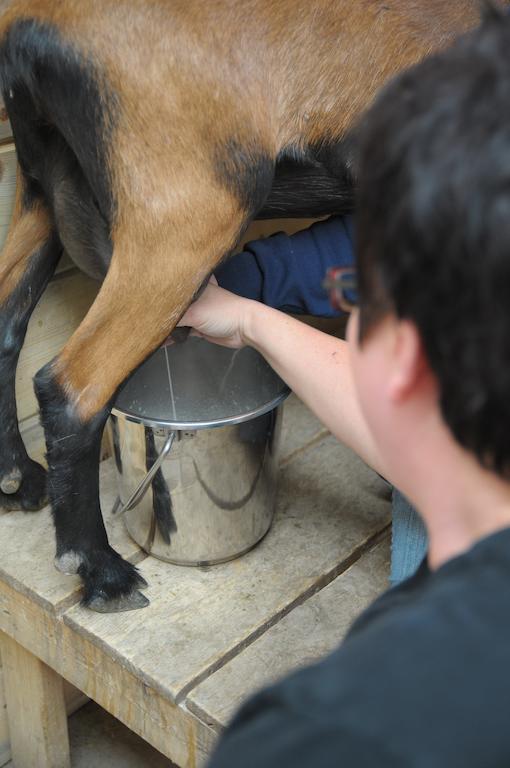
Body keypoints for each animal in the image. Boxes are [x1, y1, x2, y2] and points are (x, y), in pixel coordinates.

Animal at [0, 1, 498, 612]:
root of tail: (27, 29)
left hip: (40, 188)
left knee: (8, 325)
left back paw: (17, 475)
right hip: (188, 211)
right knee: (72, 388)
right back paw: (101, 571)